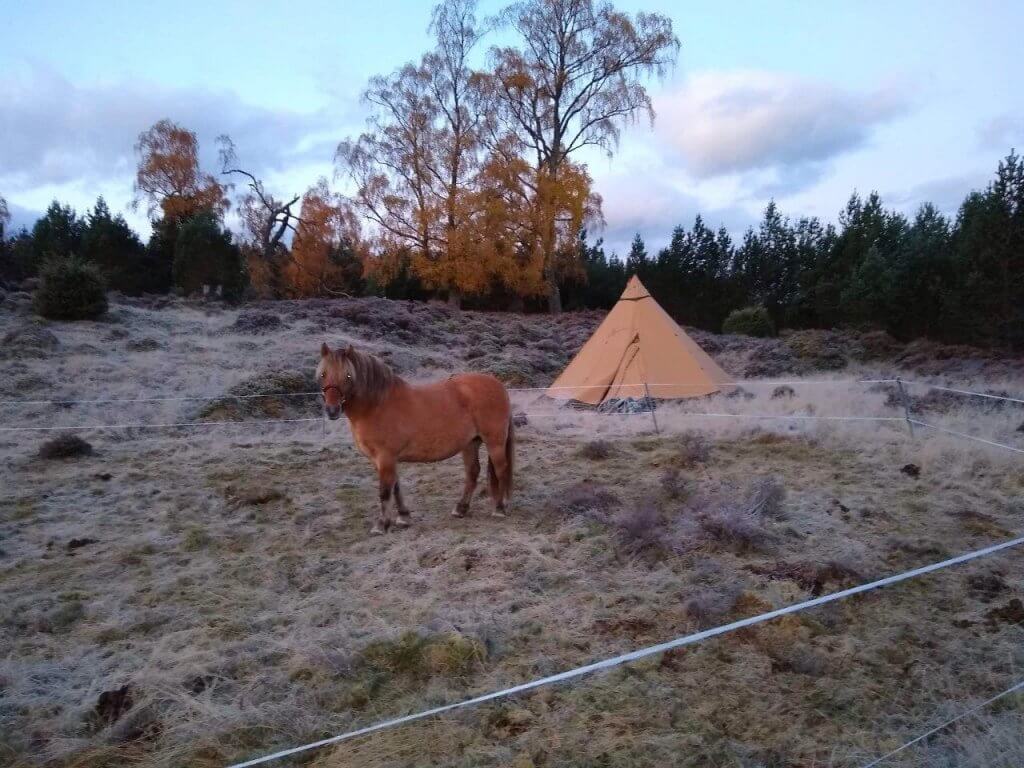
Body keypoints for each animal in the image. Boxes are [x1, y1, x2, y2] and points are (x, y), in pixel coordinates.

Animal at [317, 344, 516, 536]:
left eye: (348, 376)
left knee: (501, 470)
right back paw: (461, 509)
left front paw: (381, 525)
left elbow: (385, 491)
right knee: (473, 472)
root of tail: (498, 384)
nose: (332, 410)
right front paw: (403, 517)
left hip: (495, 442)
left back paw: (500, 508)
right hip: (470, 443)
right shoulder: (384, 460)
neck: (377, 405)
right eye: (323, 374)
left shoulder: (385, 457)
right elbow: (395, 487)